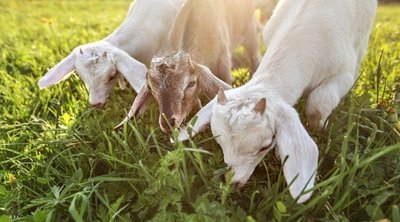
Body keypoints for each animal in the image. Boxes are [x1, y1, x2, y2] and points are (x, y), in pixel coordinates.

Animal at [177, 0, 376, 203]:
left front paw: (319, 129)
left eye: (265, 145)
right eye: (219, 141)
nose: (232, 182)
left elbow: (318, 105)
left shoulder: (344, 73)